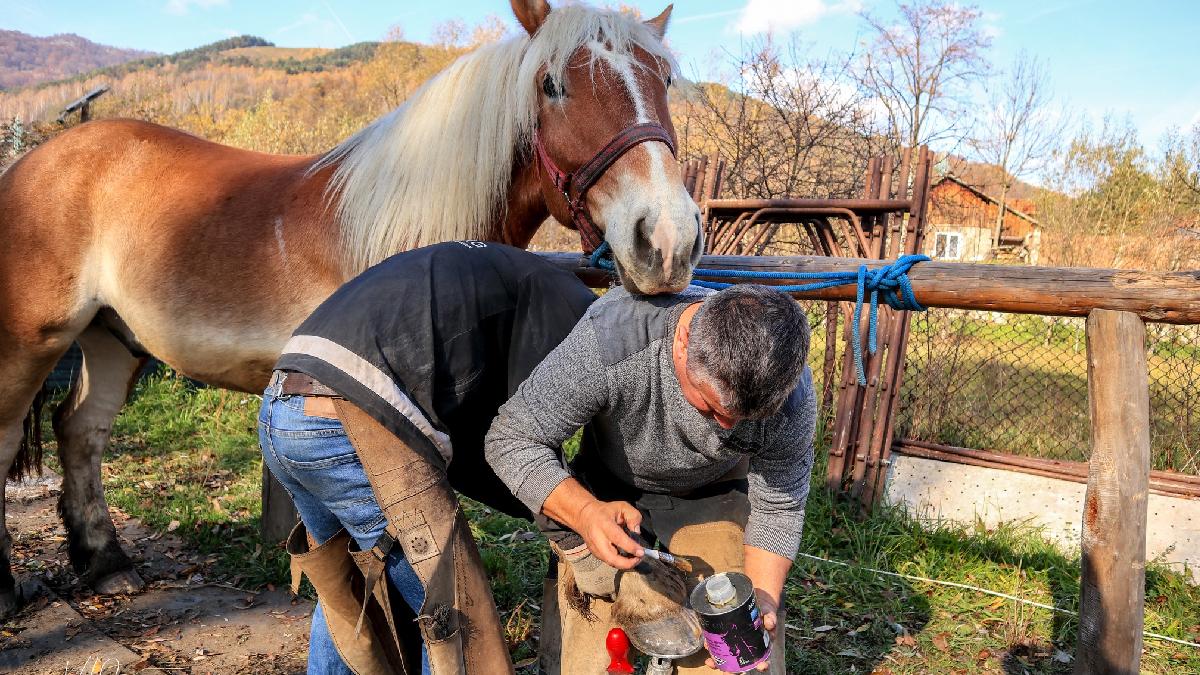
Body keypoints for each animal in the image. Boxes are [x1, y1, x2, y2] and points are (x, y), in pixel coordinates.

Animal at [0, 0, 703, 617]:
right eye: (553, 84)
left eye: (664, 78)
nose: (667, 239)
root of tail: (35, 159)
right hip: (31, 343)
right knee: (10, 436)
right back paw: (12, 589)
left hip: (112, 340)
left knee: (80, 430)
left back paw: (105, 560)